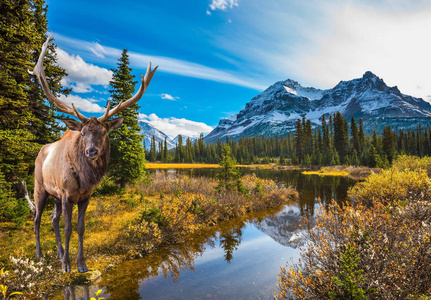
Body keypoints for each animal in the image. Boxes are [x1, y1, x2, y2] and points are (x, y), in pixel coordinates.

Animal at [28, 36, 158, 274]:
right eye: (83, 133)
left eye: (104, 132)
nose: (91, 151)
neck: (84, 178)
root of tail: (40, 151)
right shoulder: (66, 194)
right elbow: (68, 227)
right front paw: (67, 265)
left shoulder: (85, 196)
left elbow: (80, 228)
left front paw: (80, 263)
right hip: (40, 187)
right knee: (37, 219)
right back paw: (40, 255)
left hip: (55, 197)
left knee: (52, 219)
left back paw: (59, 252)